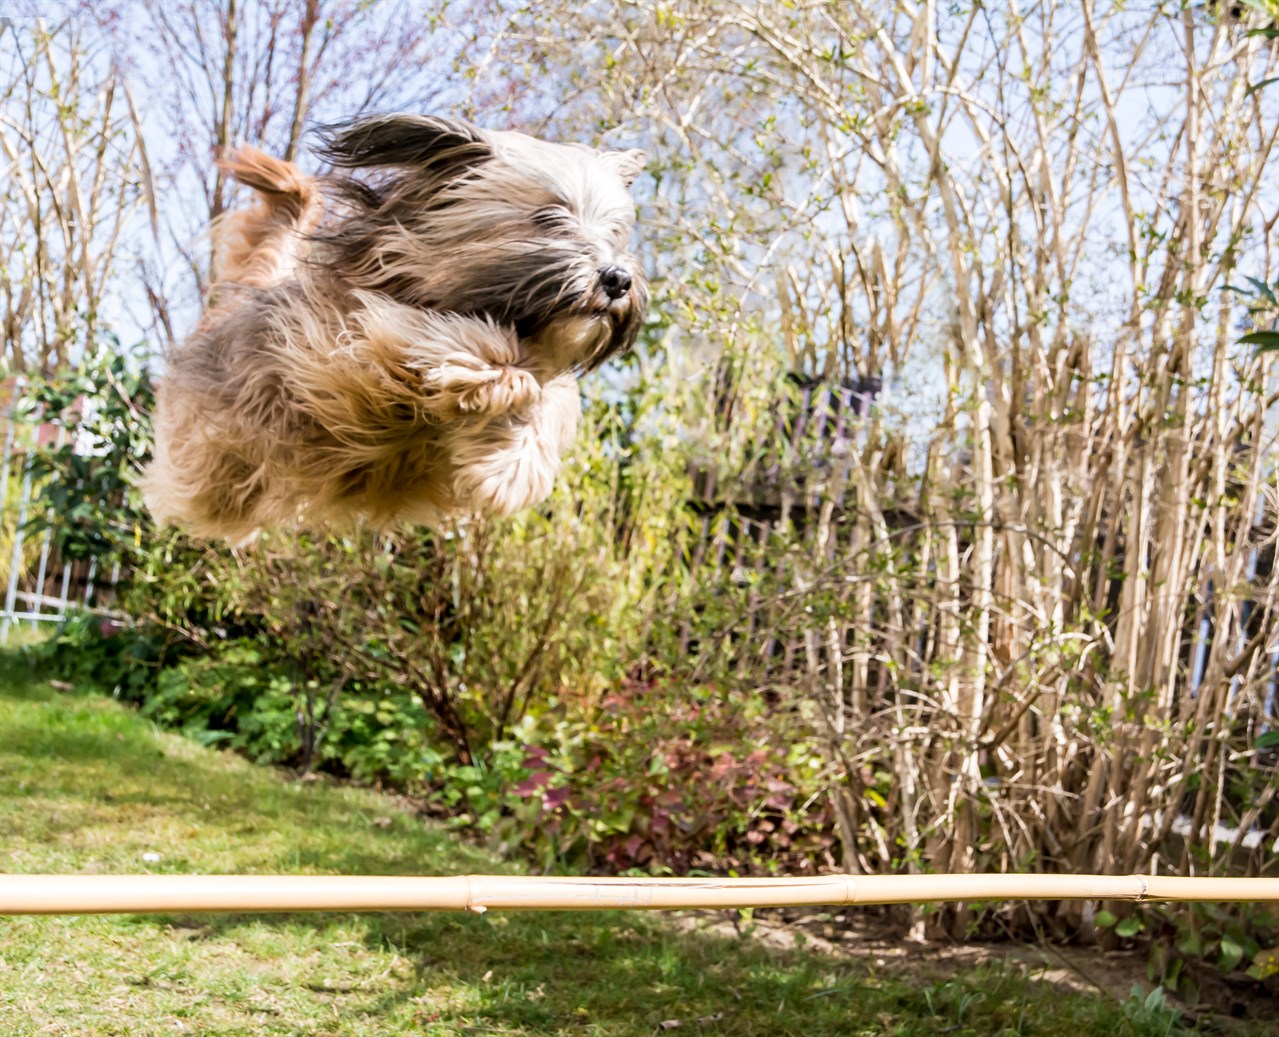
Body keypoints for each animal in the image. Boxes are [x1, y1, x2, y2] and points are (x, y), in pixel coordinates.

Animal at [146, 116, 649, 544]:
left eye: (614, 233)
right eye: (548, 218)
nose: (617, 279)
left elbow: (551, 399)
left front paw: (512, 467)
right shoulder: (339, 347)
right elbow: (429, 337)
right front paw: (490, 377)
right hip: (210, 467)